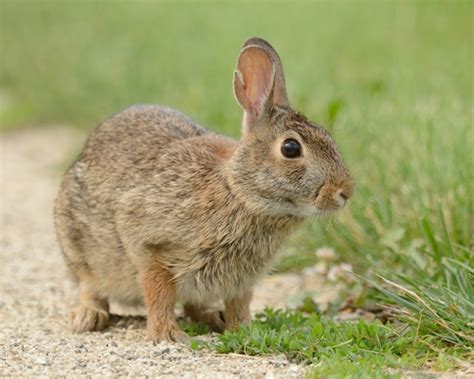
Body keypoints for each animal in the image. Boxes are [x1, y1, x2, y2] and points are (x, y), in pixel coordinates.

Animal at [54, 37, 352, 342]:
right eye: (290, 148)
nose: (346, 191)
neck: (238, 192)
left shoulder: (241, 278)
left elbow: (239, 302)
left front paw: (243, 329)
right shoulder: (148, 242)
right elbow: (158, 292)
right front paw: (167, 335)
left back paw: (213, 317)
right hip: (77, 248)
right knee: (90, 286)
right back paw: (87, 316)